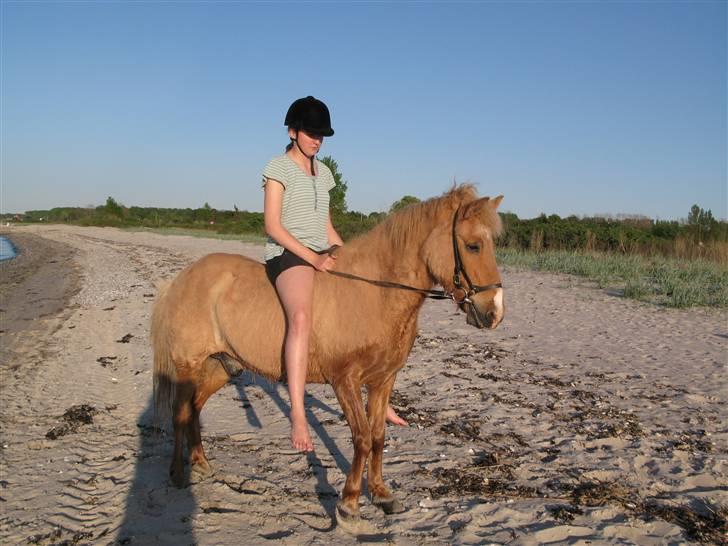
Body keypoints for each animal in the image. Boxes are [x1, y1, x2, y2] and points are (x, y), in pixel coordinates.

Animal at [152, 184, 506, 524]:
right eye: (473, 245)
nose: (494, 314)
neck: (374, 293)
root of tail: (182, 278)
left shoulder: (383, 380)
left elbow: (378, 435)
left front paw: (381, 494)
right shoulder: (344, 381)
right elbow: (362, 437)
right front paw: (349, 504)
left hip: (220, 367)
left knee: (194, 409)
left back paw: (200, 463)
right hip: (187, 367)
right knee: (180, 413)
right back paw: (178, 474)